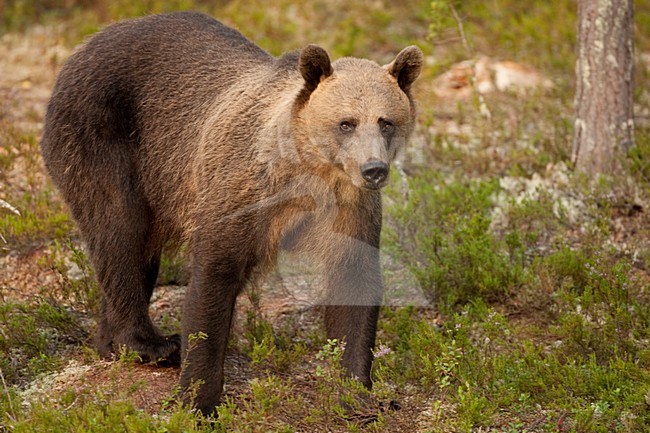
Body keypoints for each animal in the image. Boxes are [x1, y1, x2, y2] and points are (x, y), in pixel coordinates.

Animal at [41, 11, 426, 414]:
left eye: (385, 121)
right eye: (346, 122)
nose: (373, 170)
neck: (308, 174)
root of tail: (86, 43)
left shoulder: (348, 208)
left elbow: (353, 285)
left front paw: (359, 393)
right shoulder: (241, 195)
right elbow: (214, 277)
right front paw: (199, 399)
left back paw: (111, 342)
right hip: (105, 139)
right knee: (121, 234)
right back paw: (150, 343)